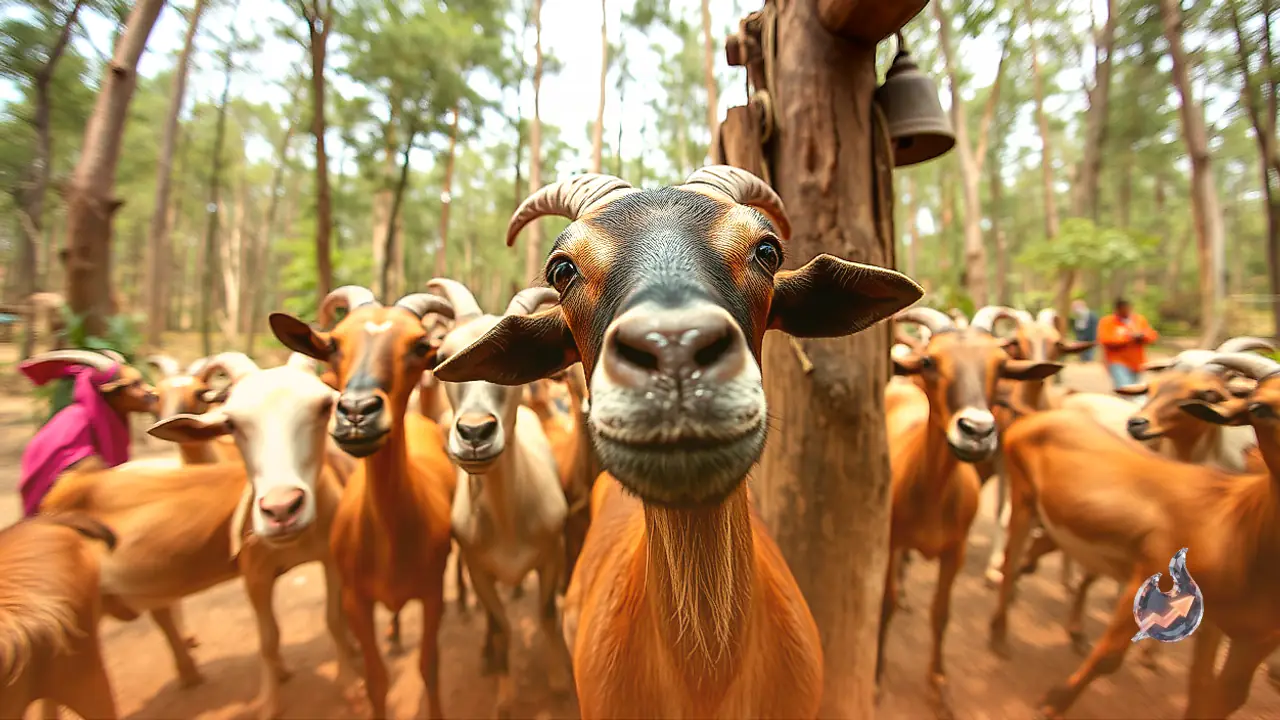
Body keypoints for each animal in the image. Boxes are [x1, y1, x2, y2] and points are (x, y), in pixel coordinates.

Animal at [270, 286, 459, 719]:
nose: (357, 412)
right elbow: (377, 680)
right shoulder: (356, 599)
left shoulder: (433, 594)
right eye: (333, 344)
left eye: (420, 345)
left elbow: (429, 666)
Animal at [428, 279, 573, 716]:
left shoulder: (552, 554)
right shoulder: (478, 571)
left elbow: (546, 614)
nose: (475, 433)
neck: (509, 524)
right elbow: (502, 625)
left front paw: (559, 679)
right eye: (441, 356)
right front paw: (505, 695)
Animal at [883, 307, 1063, 717]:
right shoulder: (888, 542)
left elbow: (941, 614)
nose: (977, 431)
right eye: (929, 361)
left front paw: (939, 685)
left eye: (1001, 364)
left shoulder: (956, 550)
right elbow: (884, 604)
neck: (931, 498)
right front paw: (875, 677)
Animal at [987, 349, 1280, 718]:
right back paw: (1000, 636)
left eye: (1208, 392)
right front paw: (1053, 702)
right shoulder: (1149, 576)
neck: (1238, 524)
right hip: (1023, 499)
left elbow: (1213, 691)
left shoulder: (1243, 637)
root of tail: (1038, 417)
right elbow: (1110, 656)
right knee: (1012, 559)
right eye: (1259, 407)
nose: (1139, 425)